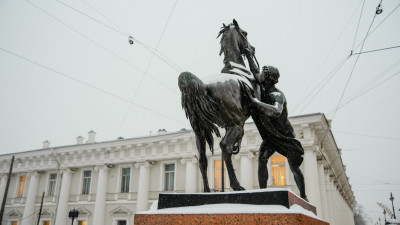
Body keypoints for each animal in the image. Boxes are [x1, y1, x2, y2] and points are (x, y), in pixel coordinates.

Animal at [180, 19, 260, 192]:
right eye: (245, 33)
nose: (252, 48)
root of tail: (202, 85)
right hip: (236, 124)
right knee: (225, 147)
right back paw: (237, 185)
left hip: (200, 131)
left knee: (203, 159)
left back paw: (207, 190)